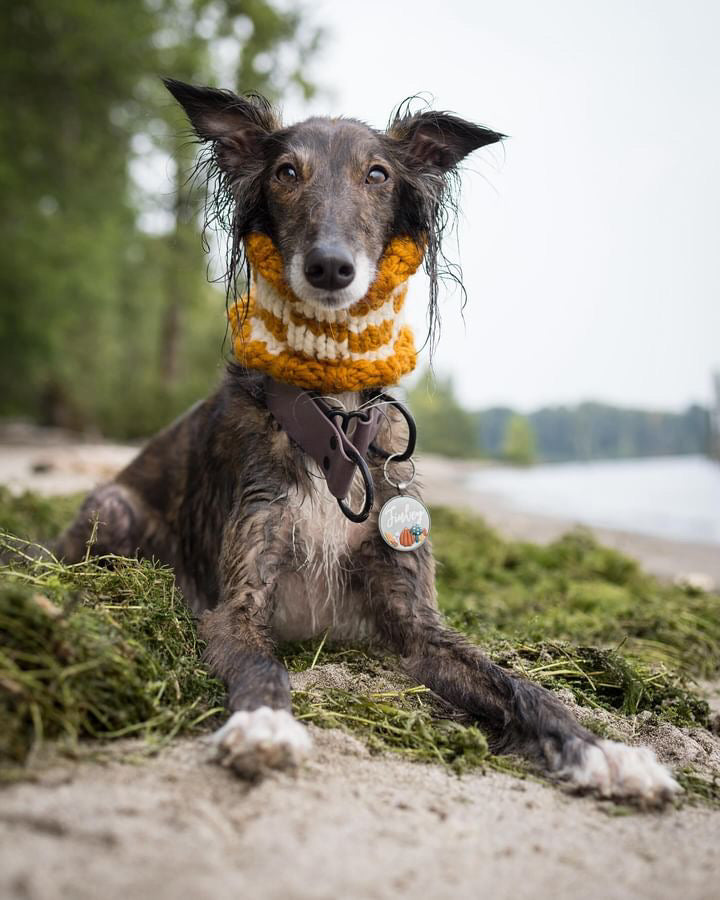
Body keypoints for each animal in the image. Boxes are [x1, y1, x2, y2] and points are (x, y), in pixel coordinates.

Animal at [54, 81, 676, 800]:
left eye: (377, 175)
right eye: (285, 172)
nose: (330, 267)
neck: (335, 421)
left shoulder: (417, 625)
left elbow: (518, 684)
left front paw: (602, 749)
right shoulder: (237, 604)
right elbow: (264, 667)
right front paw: (265, 725)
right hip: (112, 507)